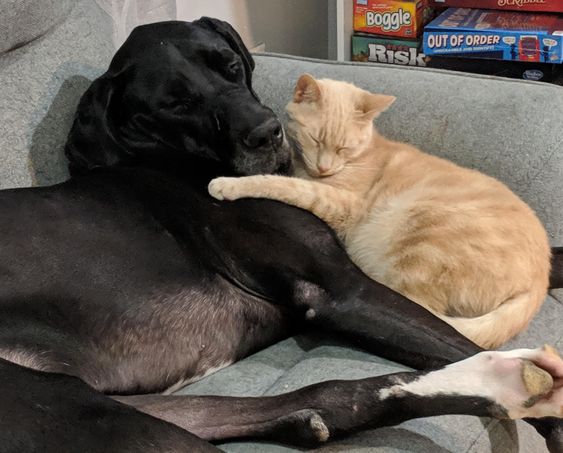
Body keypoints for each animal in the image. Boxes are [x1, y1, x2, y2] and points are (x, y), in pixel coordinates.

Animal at [207, 75, 552, 350]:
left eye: (343, 148)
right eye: (315, 139)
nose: (324, 167)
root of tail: (539, 282)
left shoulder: (340, 202)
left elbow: (283, 185)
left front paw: (227, 184)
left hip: (419, 235)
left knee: (414, 306)